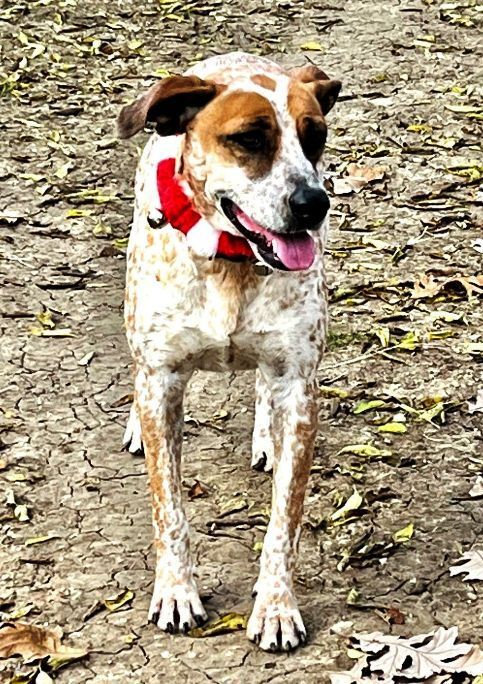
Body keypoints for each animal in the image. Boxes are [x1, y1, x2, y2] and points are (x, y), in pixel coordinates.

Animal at [117, 52, 340, 652]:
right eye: (247, 139)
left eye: (315, 137)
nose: (313, 203)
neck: (231, 263)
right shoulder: (162, 380)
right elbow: (168, 510)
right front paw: (175, 591)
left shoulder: (299, 387)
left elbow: (284, 522)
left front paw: (277, 606)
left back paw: (265, 437)